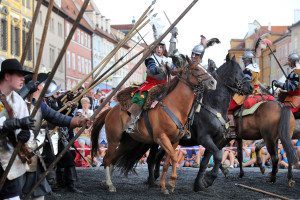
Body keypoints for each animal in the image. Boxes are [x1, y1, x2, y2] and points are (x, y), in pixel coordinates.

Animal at [91, 56, 216, 194]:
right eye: (196, 69)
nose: (213, 82)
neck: (175, 107)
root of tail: (110, 110)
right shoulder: (161, 138)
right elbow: (173, 157)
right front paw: (171, 182)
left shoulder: (174, 141)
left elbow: (167, 162)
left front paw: (164, 186)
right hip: (113, 139)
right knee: (107, 159)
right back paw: (110, 184)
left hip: (128, 143)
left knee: (113, 158)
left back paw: (106, 182)